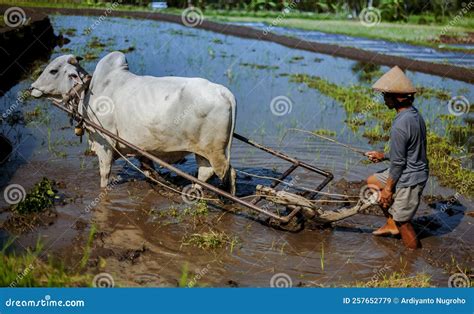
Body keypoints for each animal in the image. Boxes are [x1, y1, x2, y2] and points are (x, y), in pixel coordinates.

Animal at [30, 51, 237, 194]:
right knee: (208, 174)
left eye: (53, 71)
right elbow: (148, 170)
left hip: (214, 152)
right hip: (203, 152)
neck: (89, 92)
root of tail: (225, 92)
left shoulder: (105, 144)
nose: (32, 88)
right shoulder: (141, 150)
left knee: (223, 173)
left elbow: (104, 175)